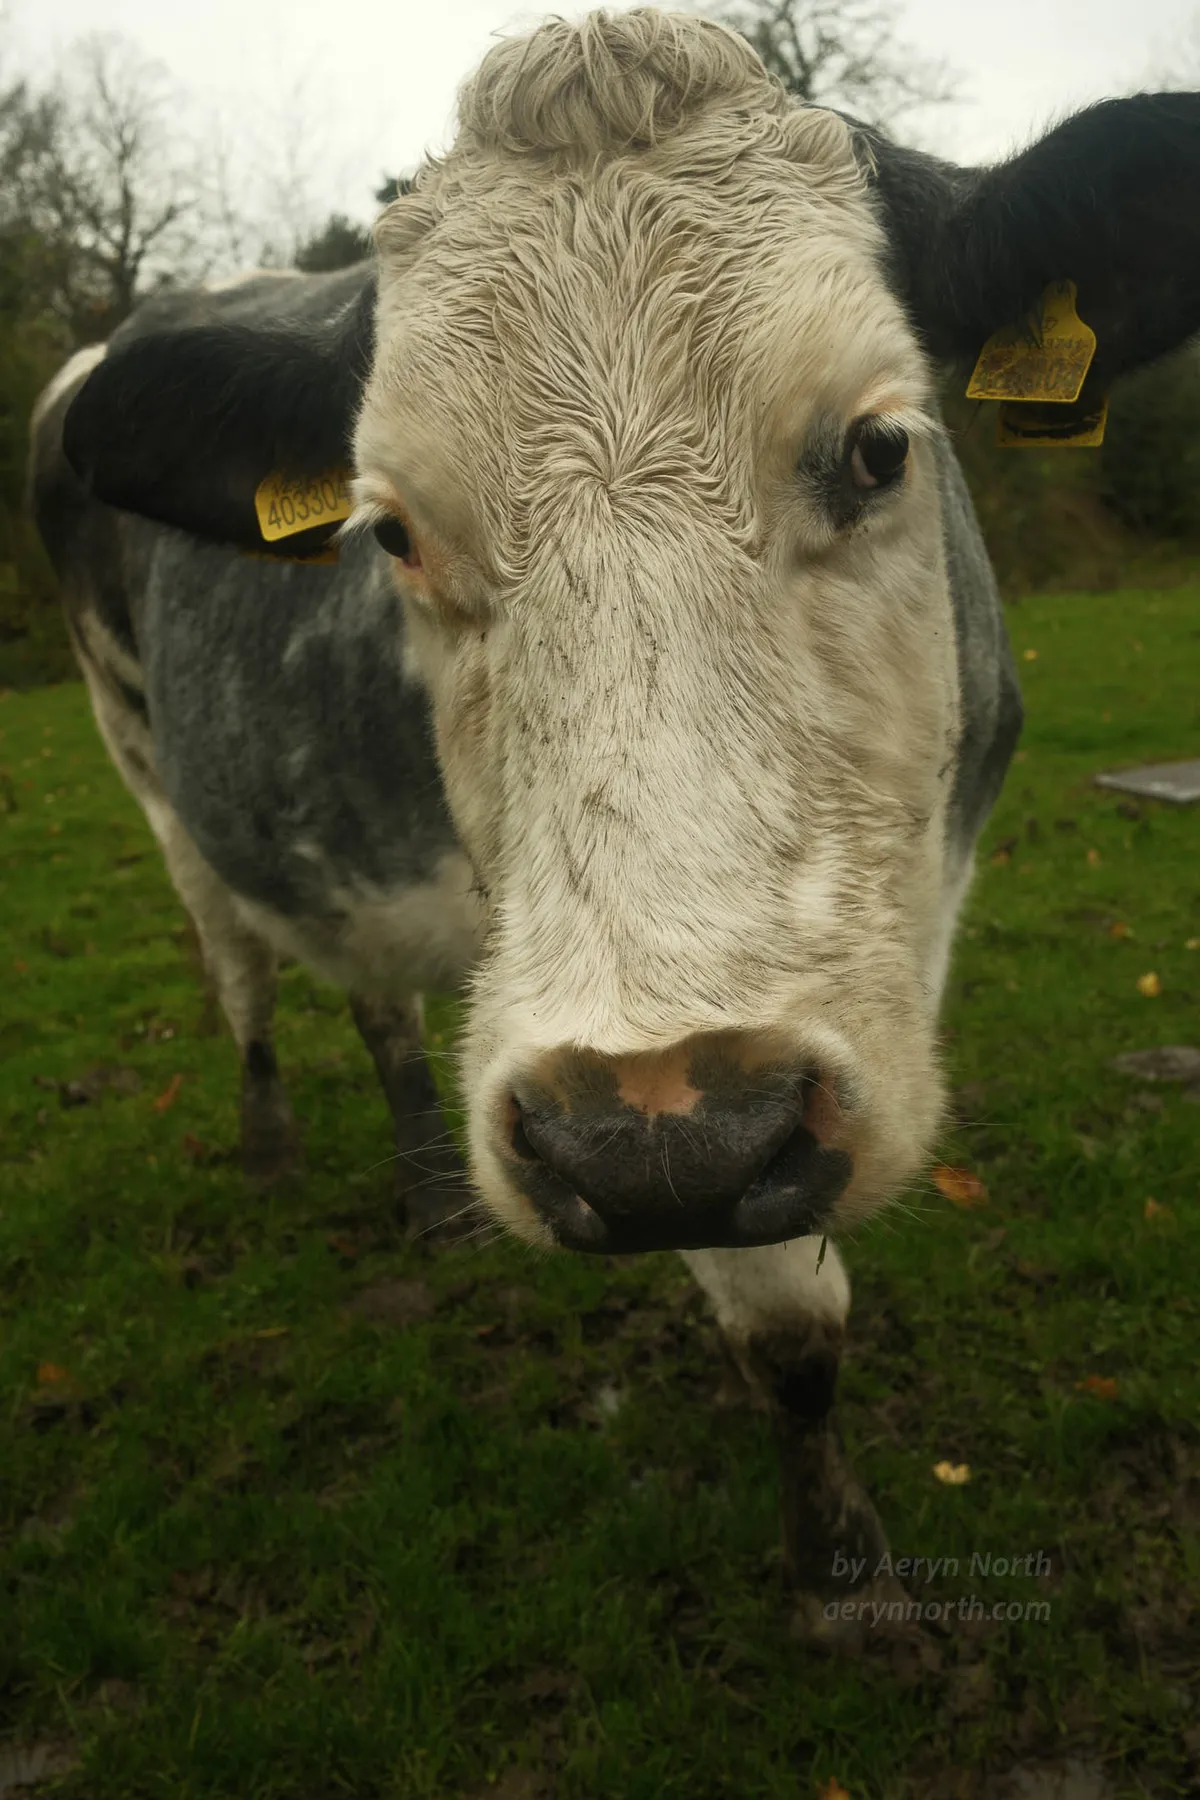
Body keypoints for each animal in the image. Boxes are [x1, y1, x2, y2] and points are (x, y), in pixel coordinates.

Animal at [30, 9, 1200, 1639]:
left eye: (879, 448)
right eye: (389, 529)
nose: (645, 1125)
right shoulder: (671, 1111)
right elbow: (788, 1322)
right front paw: (843, 1579)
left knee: (375, 994)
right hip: (146, 761)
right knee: (241, 959)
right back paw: (269, 1142)